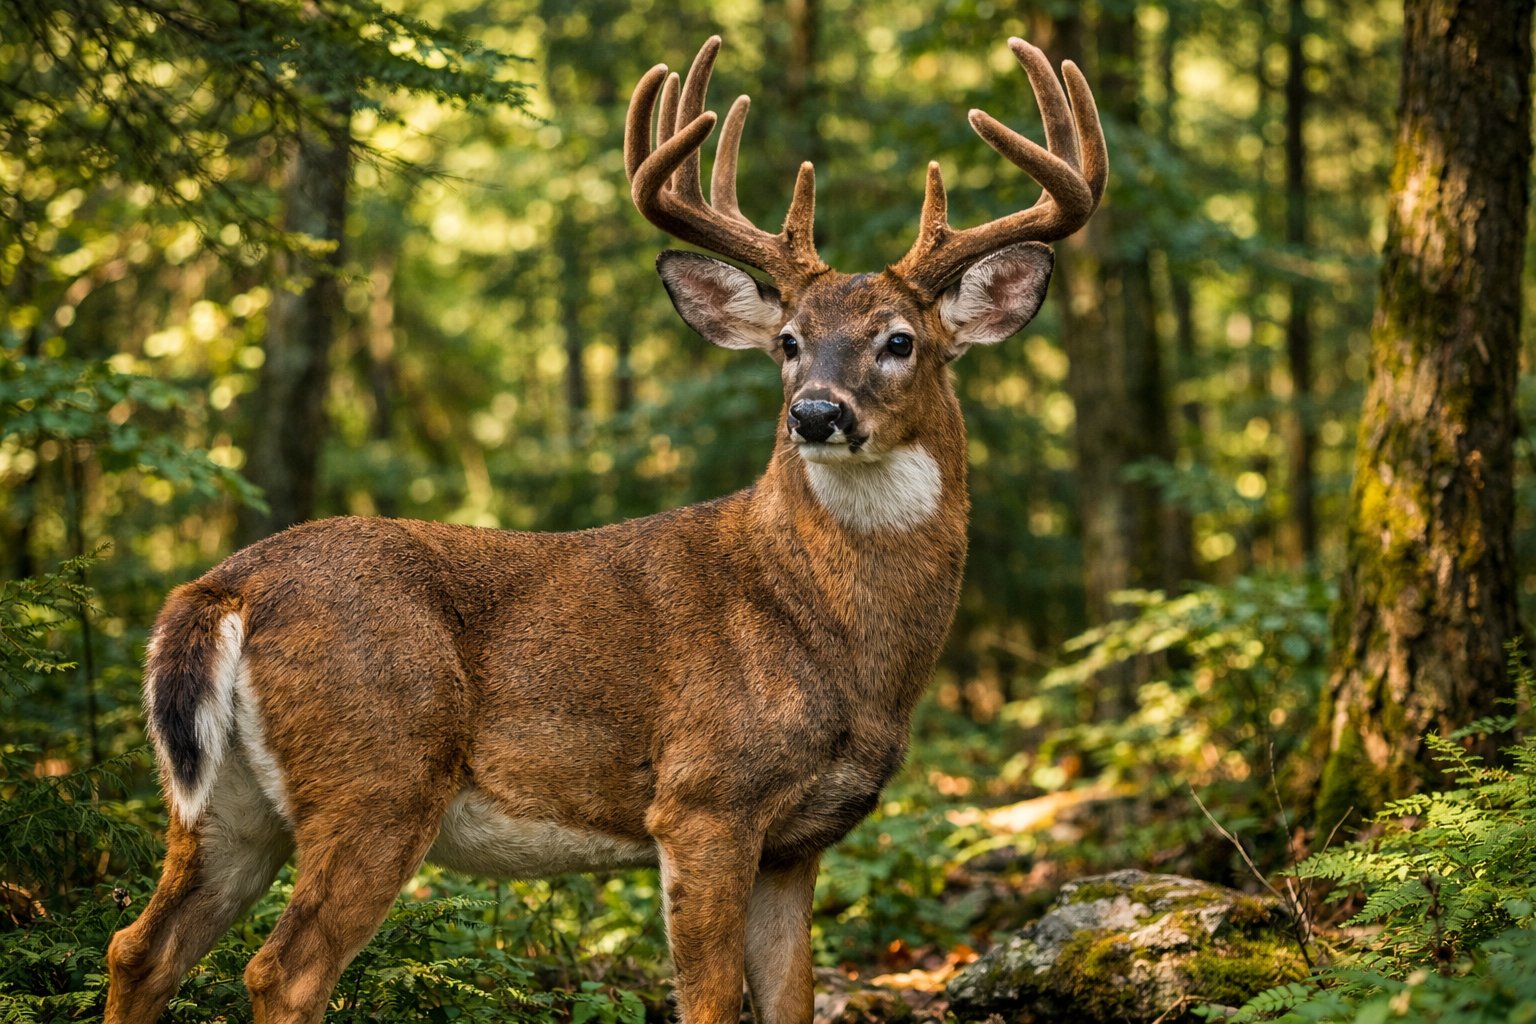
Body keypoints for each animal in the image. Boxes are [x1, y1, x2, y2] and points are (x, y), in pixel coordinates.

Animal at [104, 35, 1105, 1024]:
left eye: (900, 340)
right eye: (787, 341)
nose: (816, 412)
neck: (830, 635)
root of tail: (224, 587)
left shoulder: (797, 841)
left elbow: (792, 1002)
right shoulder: (704, 797)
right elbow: (710, 1003)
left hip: (224, 805)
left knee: (138, 948)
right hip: (379, 771)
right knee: (283, 971)